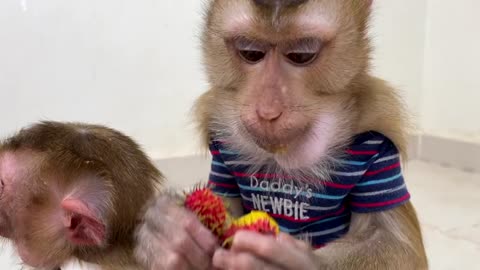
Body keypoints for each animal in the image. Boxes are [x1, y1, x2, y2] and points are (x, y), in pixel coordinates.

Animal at [136, 0, 432, 270]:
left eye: (301, 55)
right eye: (251, 53)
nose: (268, 111)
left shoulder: (378, 139)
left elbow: (394, 242)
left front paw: (290, 262)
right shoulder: (219, 141)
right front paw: (169, 233)